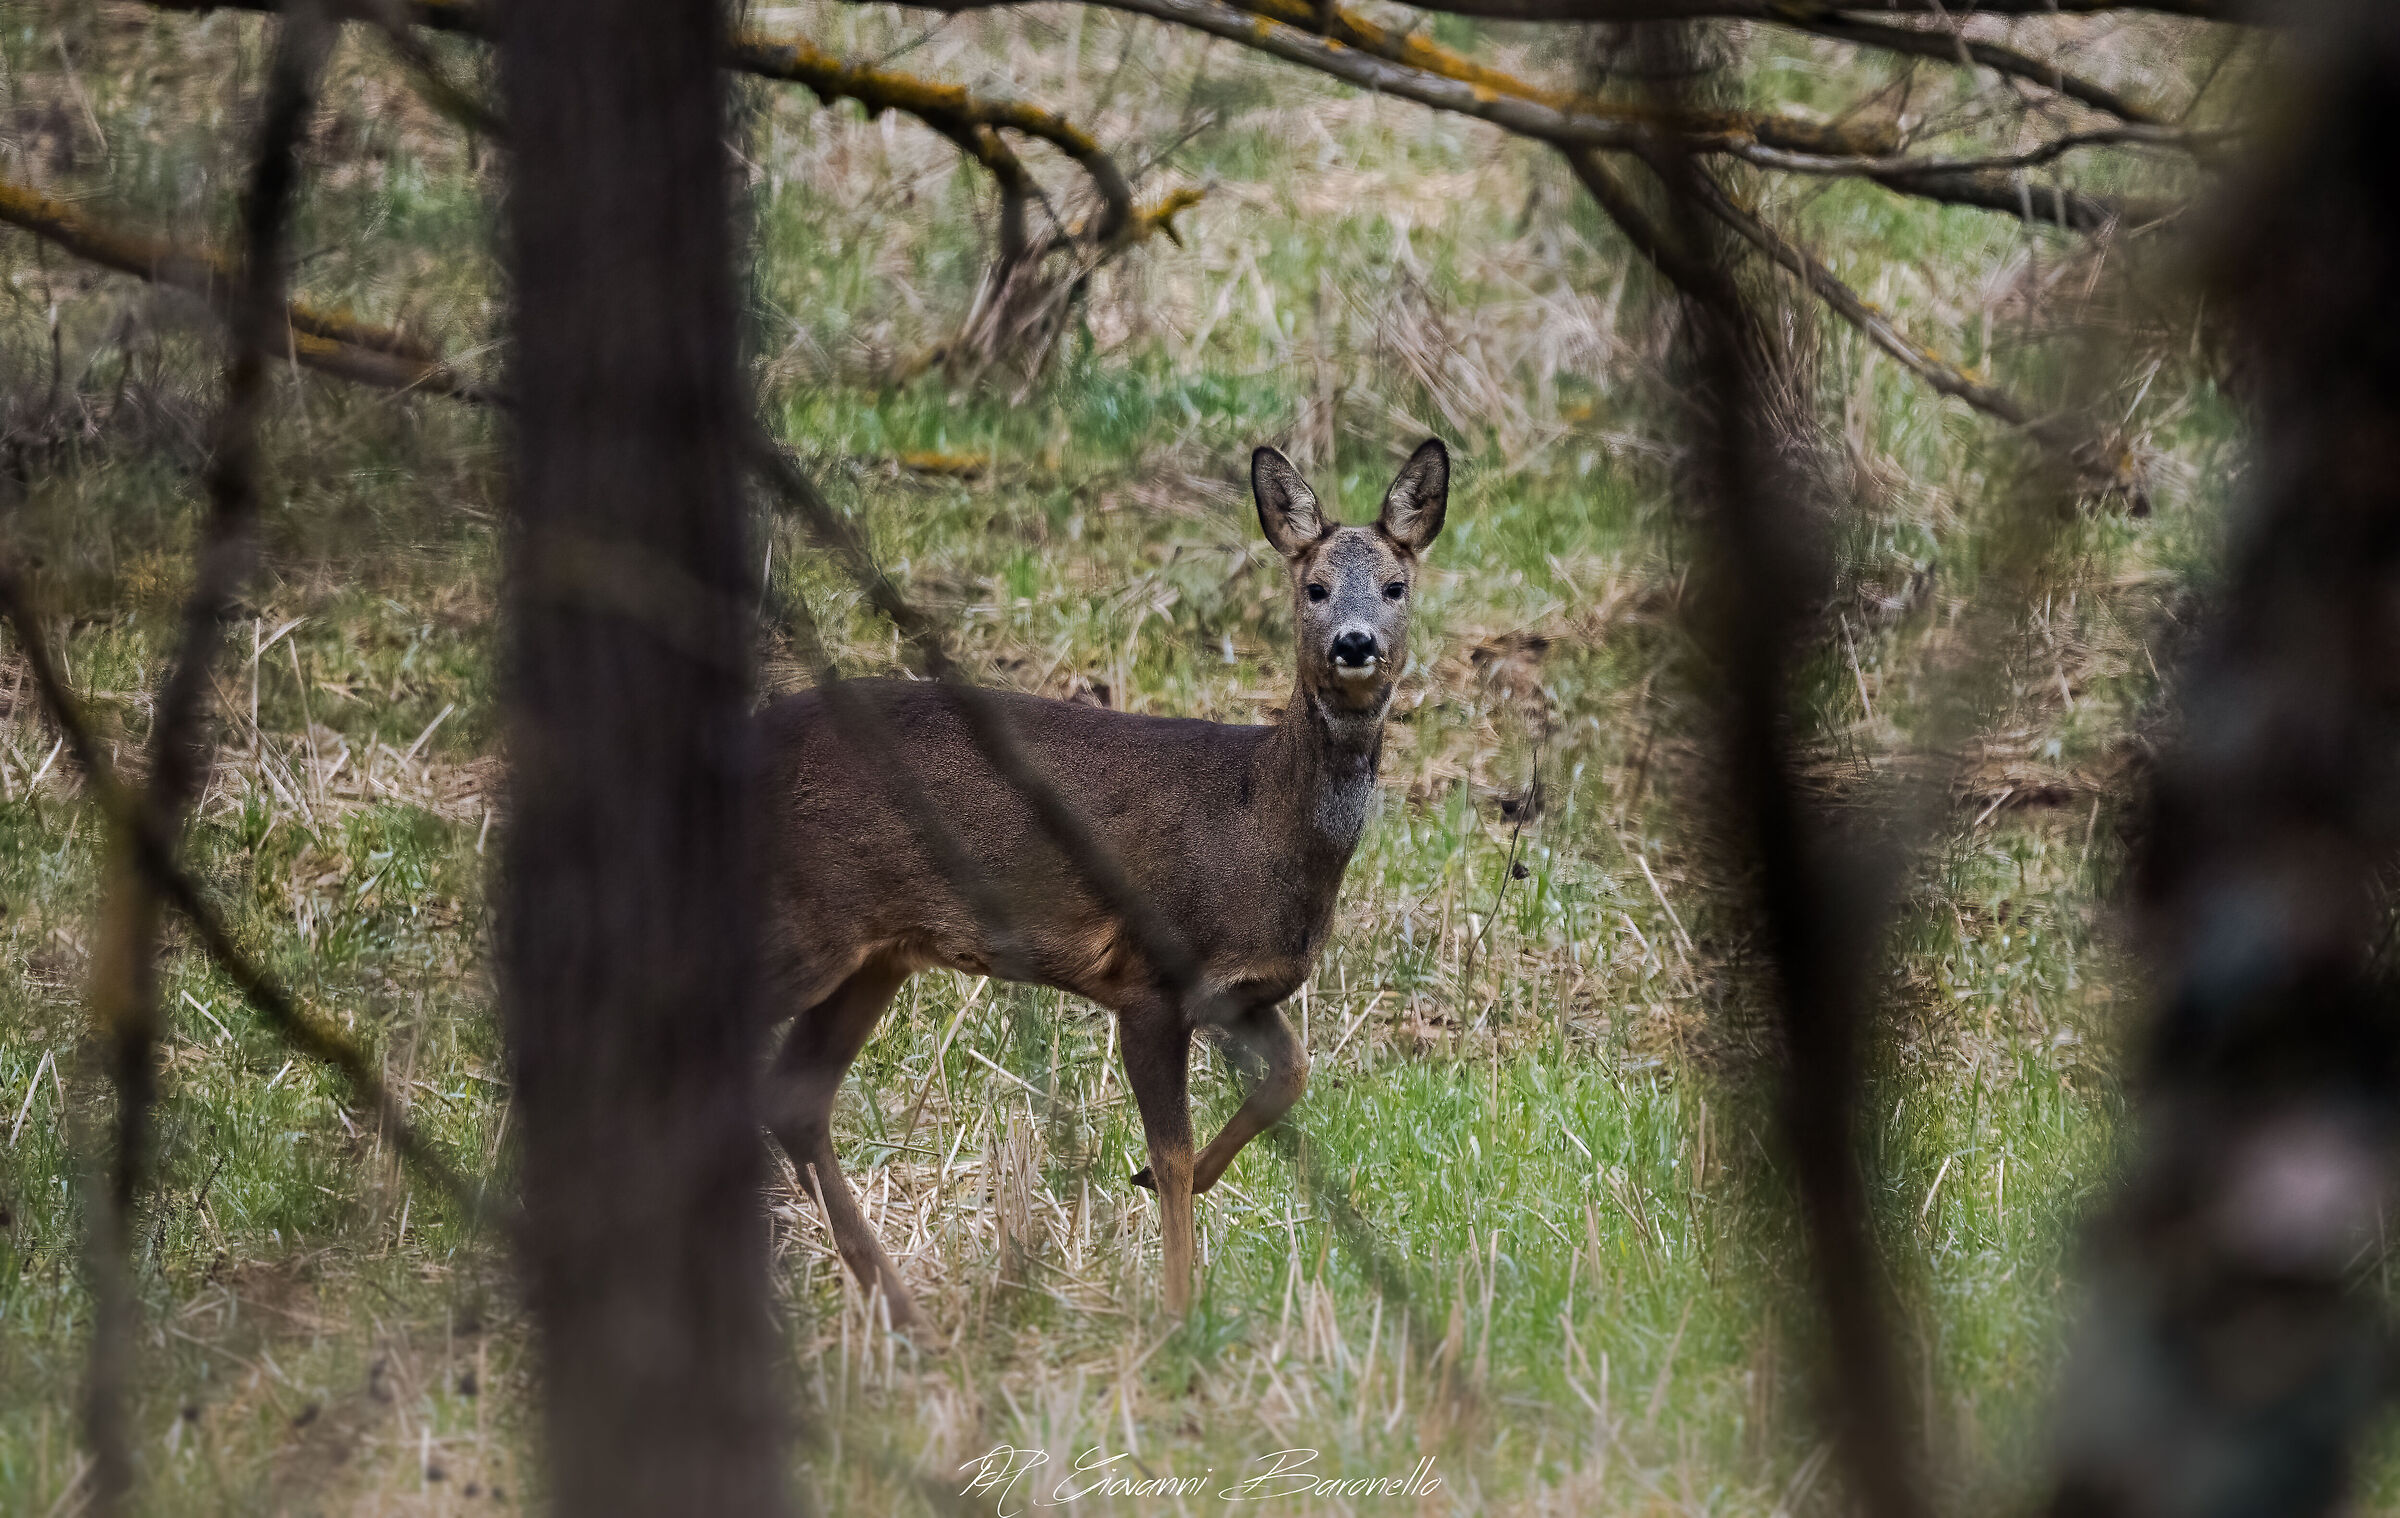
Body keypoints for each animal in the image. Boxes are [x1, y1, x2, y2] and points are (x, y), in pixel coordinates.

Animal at [757, 438, 1449, 1325]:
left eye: (1396, 585)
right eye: (1314, 586)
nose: (1355, 644)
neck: (1258, 822)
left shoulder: (1241, 991)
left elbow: (1290, 1076)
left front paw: (1151, 1184)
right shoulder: (1149, 979)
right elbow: (1178, 1149)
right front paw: (1179, 1312)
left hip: (873, 952)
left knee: (796, 1100)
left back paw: (903, 1313)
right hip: (804, 924)